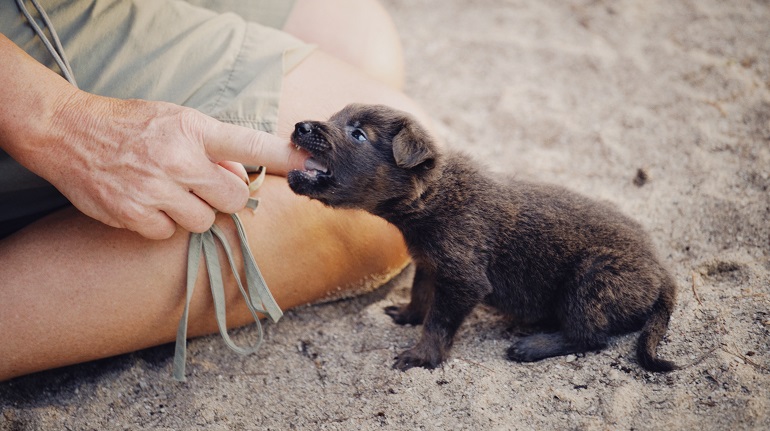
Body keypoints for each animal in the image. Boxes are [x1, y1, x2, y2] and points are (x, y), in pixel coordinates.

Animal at [284, 104, 676, 372]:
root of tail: (662, 271)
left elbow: (438, 323)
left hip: (592, 280)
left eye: (358, 134)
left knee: (591, 336)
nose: (299, 126)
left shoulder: (463, 280)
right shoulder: (429, 263)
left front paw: (422, 356)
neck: (435, 195)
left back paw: (532, 346)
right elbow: (421, 295)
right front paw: (408, 315)